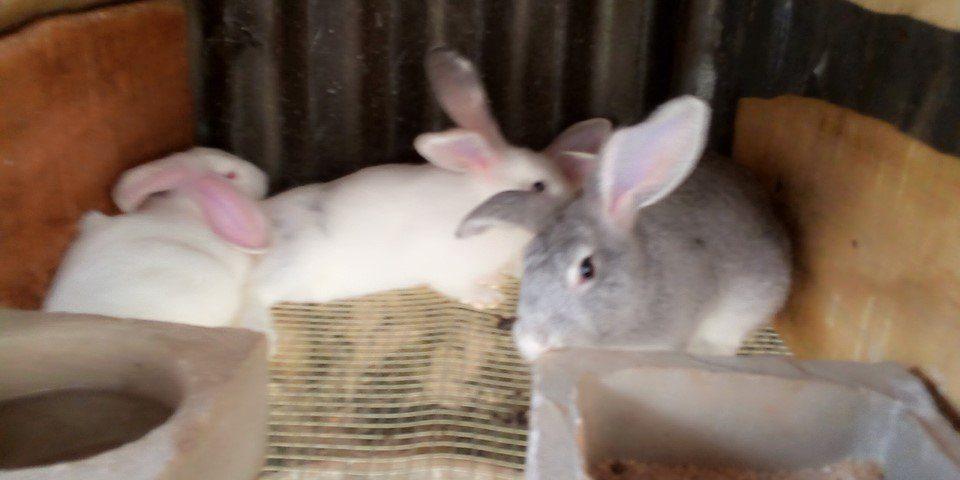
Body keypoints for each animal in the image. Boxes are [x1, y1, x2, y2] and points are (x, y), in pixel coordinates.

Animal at [238, 47, 611, 336]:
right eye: (538, 186)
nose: (570, 210)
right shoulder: (447, 269)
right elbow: (457, 286)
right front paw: (486, 298)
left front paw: (492, 283)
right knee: (255, 294)